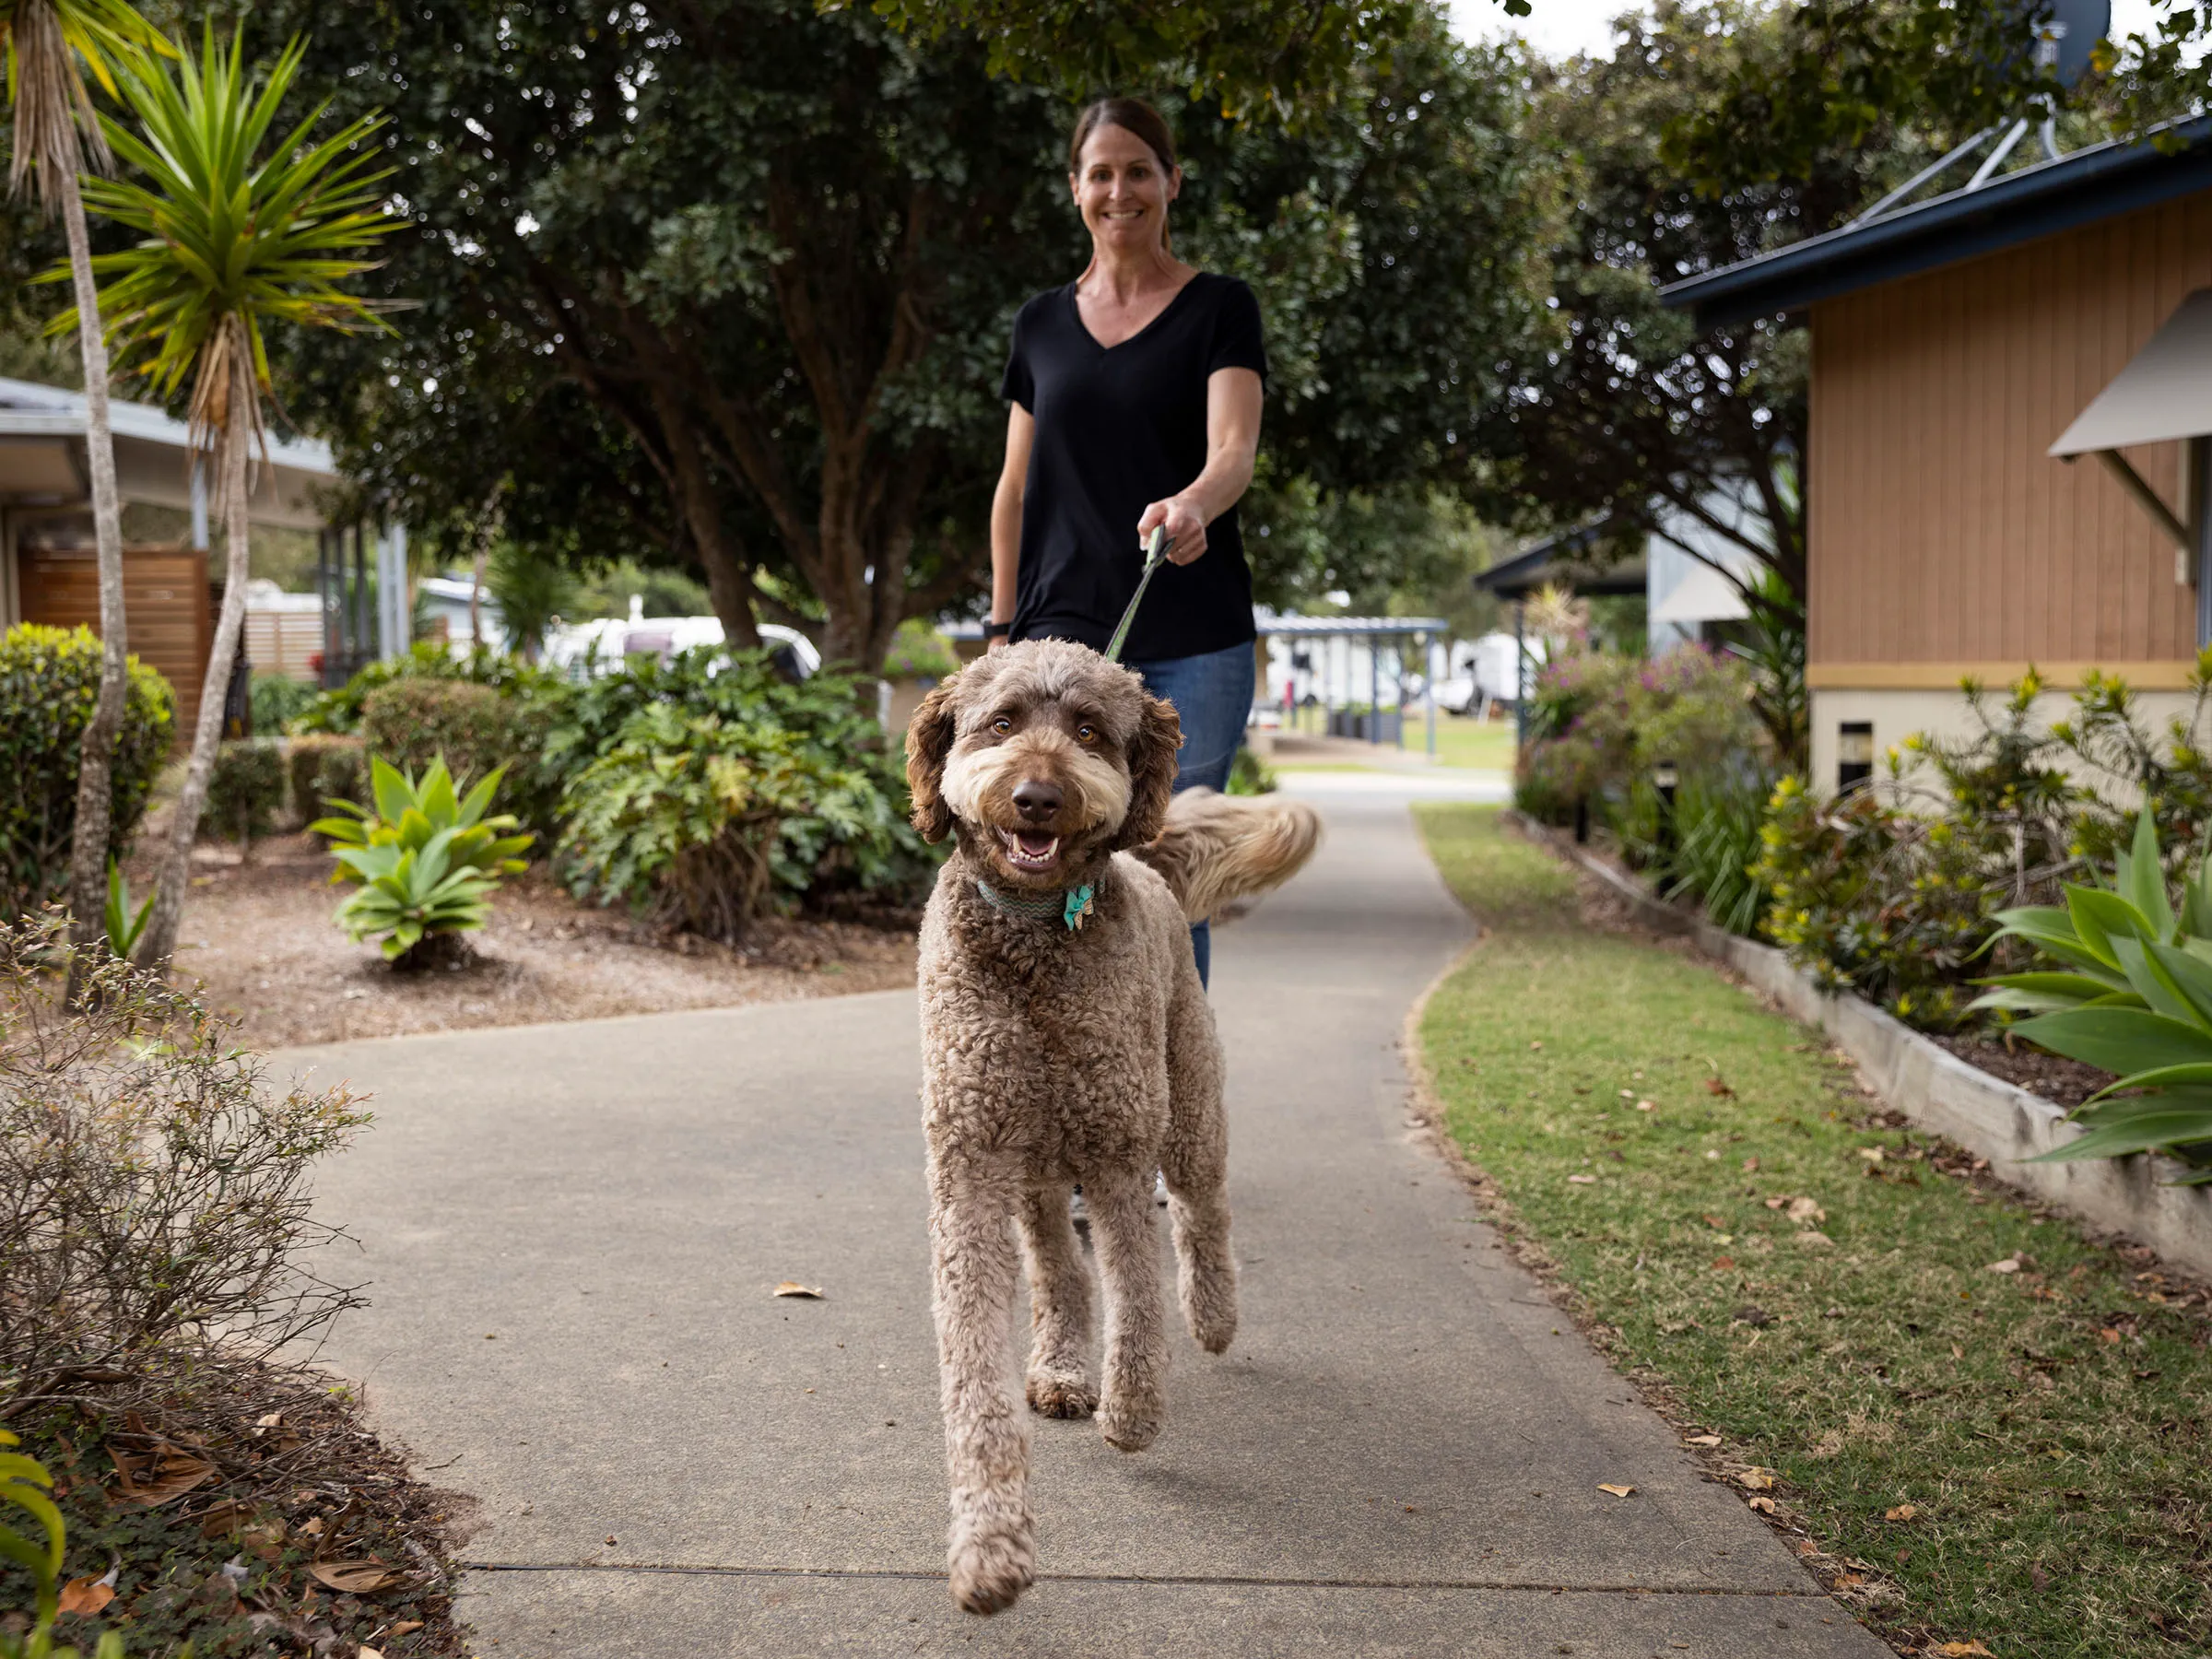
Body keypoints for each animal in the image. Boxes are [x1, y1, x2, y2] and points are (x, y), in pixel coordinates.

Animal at [907, 641, 1318, 1618]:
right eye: (1002, 722)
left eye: (1090, 731)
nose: (1037, 798)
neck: (1035, 936)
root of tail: (1155, 869)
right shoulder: (970, 1167)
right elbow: (975, 1374)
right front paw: (989, 1549)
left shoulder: (1121, 1151)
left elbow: (1136, 1299)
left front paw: (1132, 1414)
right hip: (1035, 1169)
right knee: (1060, 1270)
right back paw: (1061, 1368)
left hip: (1189, 1108)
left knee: (1204, 1214)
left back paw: (1213, 1317)